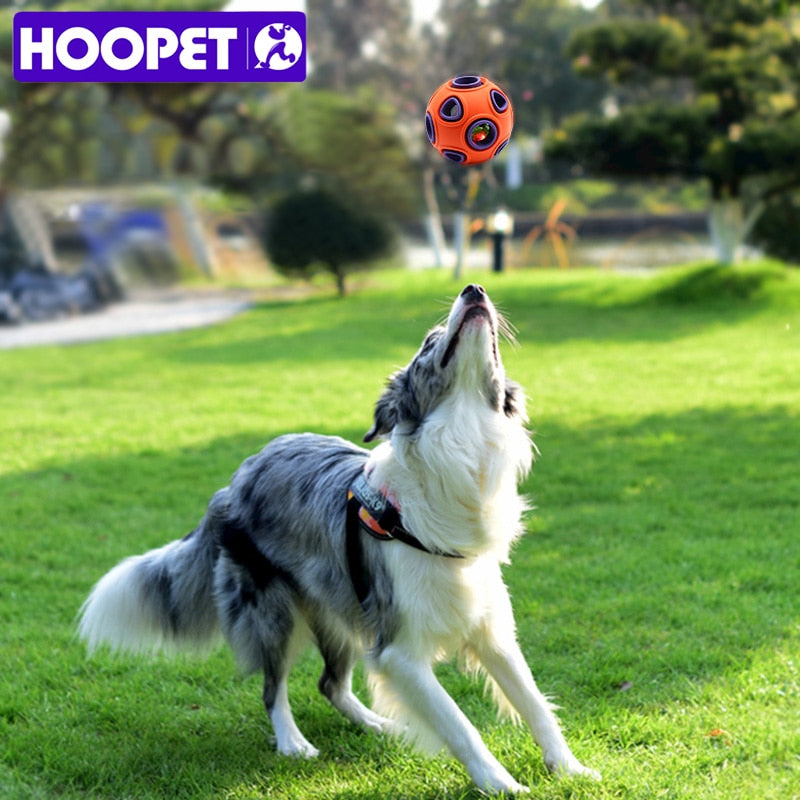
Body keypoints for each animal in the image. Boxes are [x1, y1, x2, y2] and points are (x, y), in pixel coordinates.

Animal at [78, 286, 596, 792]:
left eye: (493, 348)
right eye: (429, 343)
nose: (474, 289)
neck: (462, 443)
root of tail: (235, 480)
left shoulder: (490, 629)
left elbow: (534, 702)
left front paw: (571, 770)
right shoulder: (399, 650)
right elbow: (459, 723)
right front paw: (501, 784)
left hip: (337, 610)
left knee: (331, 684)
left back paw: (382, 726)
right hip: (275, 613)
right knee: (273, 687)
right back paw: (292, 742)